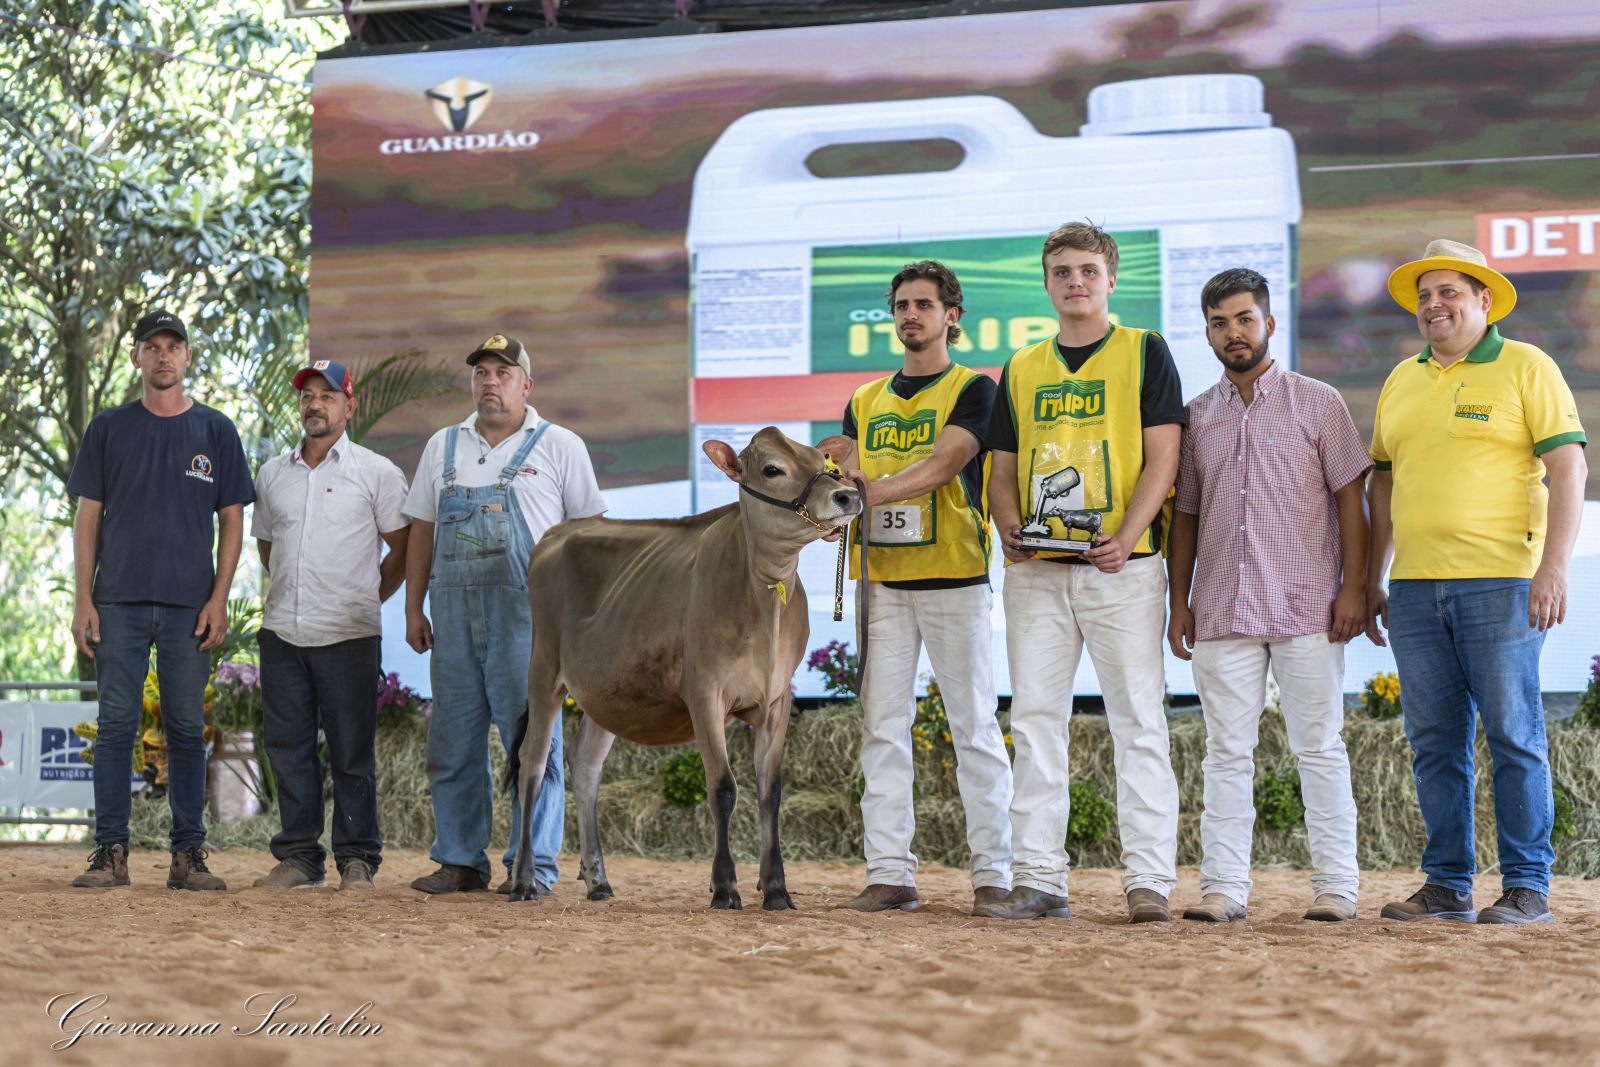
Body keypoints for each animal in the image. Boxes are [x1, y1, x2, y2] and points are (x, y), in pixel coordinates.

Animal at [505, 427, 863, 910]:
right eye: (773, 469)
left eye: (826, 464)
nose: (848, 495)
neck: (763, 603)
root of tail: (564, 529)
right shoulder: (705, 693)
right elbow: (723, 787)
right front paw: (725, 887)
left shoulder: (778, 699)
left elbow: (770, 792)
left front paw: (776, 889)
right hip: (543, 667)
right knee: (533, 765)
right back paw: (523, 881)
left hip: (608, 693)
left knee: (585, 767)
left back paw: (598, 881)